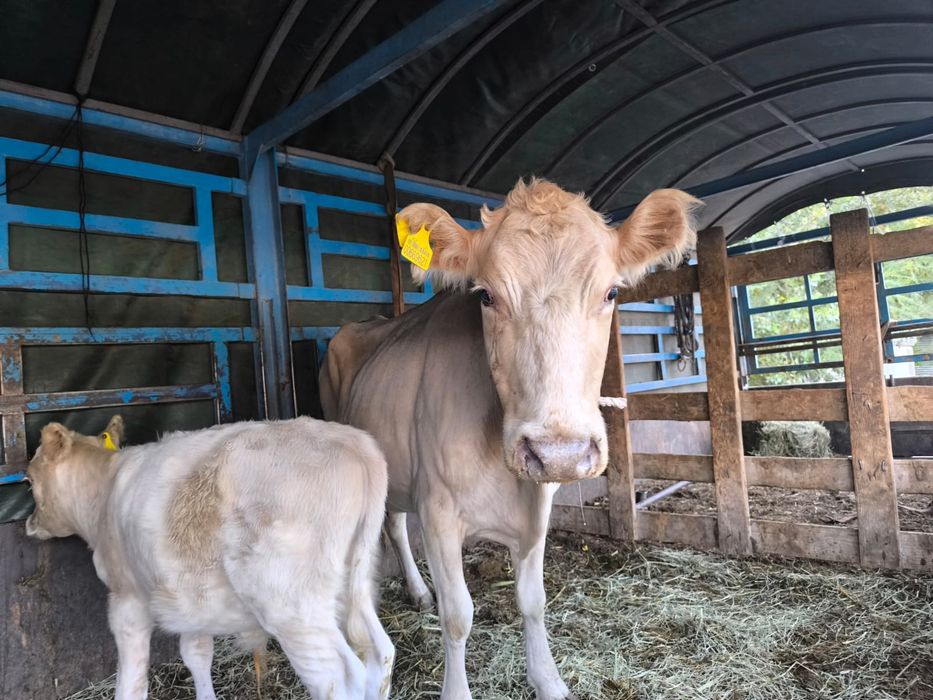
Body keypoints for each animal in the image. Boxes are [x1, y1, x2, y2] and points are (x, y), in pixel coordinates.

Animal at [25, 415, 394, 700]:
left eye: (28, 479)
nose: (29, 523)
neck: (105, 490)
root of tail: (352, 441)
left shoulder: (126, 600)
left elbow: (132, 678)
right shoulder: (191, 600)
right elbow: (196, 654)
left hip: (293, 606)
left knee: (338, 679)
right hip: (355, 586)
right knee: (380, 653)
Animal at [320, 178, 699, 699]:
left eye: (611, 292)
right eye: (485, 296)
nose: (559, 453)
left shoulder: (536, 502)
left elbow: (533, 599)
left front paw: (549, 681)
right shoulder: (438, 510)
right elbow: (458, 615)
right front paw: (456, 691)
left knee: (394, 522)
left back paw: (418, 592)